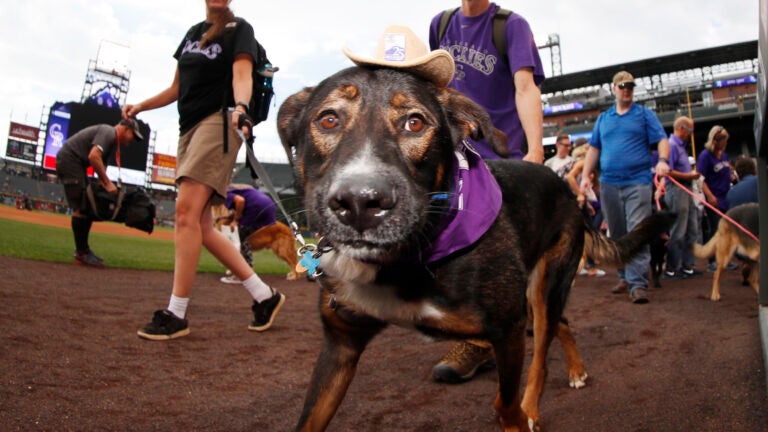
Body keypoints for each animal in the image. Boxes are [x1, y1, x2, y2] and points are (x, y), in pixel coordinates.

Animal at [278, 66, 672, 430]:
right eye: (328, 119)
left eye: (415, 123)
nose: (359, 202)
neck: (402, 263)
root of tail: (568, 192)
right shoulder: (340, 344)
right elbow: (308, 418)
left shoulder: (508, 329)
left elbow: (505, 404)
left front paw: (518, 418)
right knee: (561, 322)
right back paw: (576, 369)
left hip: (544, 286)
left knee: (543, 354)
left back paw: (535, 405)